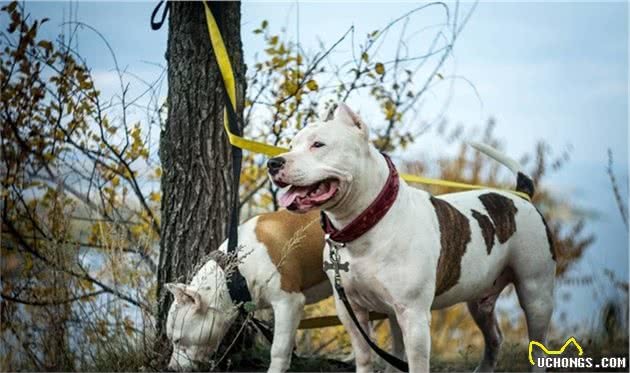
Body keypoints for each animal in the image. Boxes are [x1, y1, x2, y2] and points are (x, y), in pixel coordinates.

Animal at [270, 103, 556, 372]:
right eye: (292, 145)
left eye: (318, 144)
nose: (273, 163)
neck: (366, 223)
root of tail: (520, 196)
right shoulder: (351, 310)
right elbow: (364, 357)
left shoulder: (414, 315)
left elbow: (416, 363)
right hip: (478, 297)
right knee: (494, 337)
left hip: (536, 292)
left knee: (537, 344)